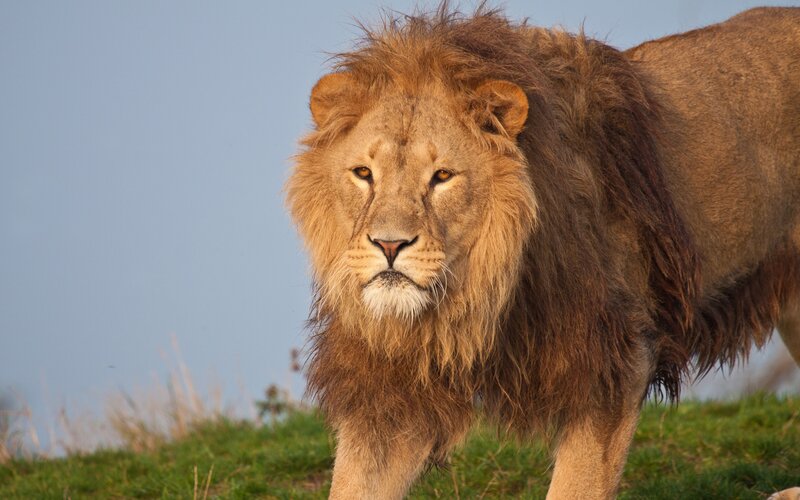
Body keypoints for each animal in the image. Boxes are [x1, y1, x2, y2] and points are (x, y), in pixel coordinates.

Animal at [286, 5, 800, 499]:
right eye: (363, 174)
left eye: (442, 177)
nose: (389, 245)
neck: (479, 296)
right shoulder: (392, 391)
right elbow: (353, 484)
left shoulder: (615, 361)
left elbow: (578, 485)